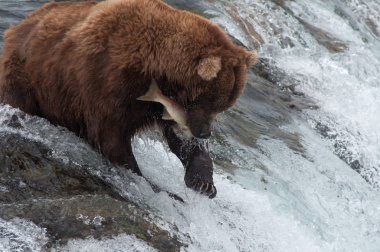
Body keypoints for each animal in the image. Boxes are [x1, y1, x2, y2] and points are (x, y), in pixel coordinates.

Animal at [0, 0, 256, 198]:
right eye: (208, 102)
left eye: (223, 107)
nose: (204, 133)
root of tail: (16, 27)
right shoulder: (108, 83)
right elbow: (110, 137)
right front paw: (159, 187)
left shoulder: (160, 107)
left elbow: (178, 138)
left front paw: (203, 182)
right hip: (26, 78)